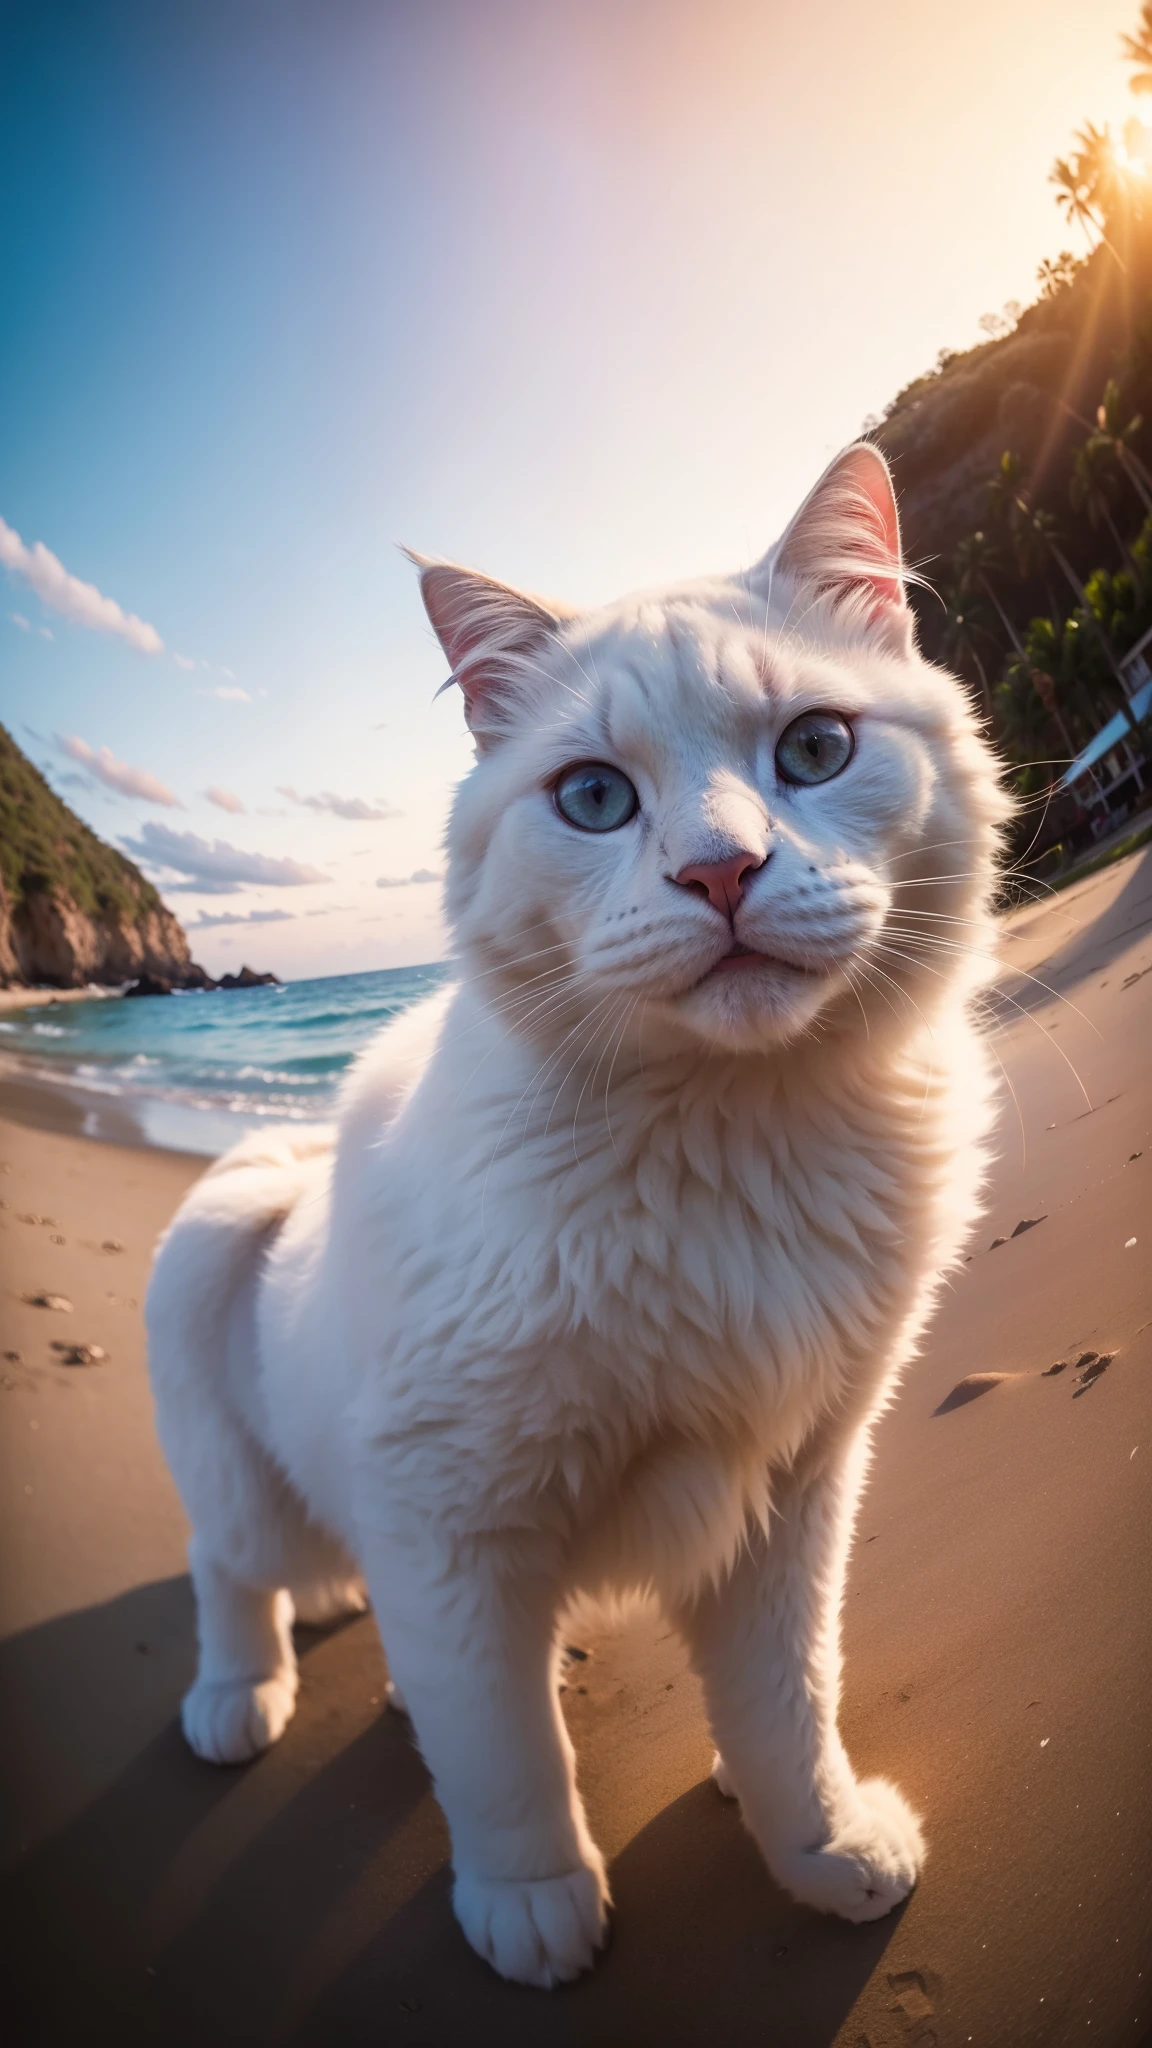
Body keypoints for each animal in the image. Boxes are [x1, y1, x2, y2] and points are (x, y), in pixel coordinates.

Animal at [145, 444, 1004, 1982]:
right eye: (594, 799)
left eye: (815, 751)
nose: (720, 873)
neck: (739, 1145)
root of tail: (283, 1177)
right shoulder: (446, 1510)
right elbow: (508, 1762)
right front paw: (534, 1908)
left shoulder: (795, 1488)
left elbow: (788, 1696)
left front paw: (820, 1844)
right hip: (261, 1472)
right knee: (230, 1569)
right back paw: (237, 1699)